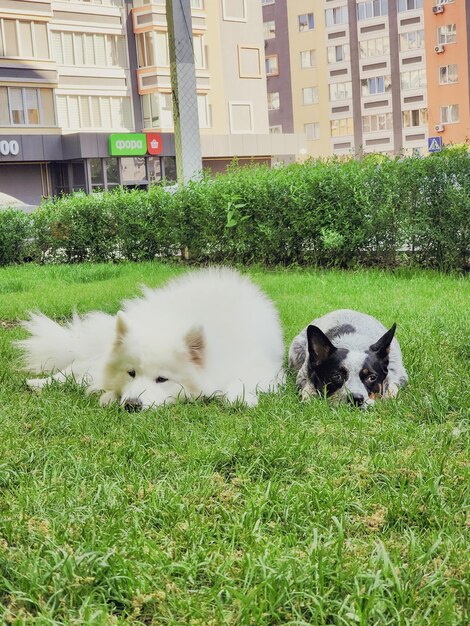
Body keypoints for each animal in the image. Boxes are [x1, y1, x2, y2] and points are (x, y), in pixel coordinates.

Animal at [17, 266, 282, 408]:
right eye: (131, 373)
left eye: (162, 379)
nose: (132, 405)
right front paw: (109, 395)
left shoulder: (260, 365)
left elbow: (240, 380)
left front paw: (240, 397)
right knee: (76, 369)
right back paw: (38, 383)